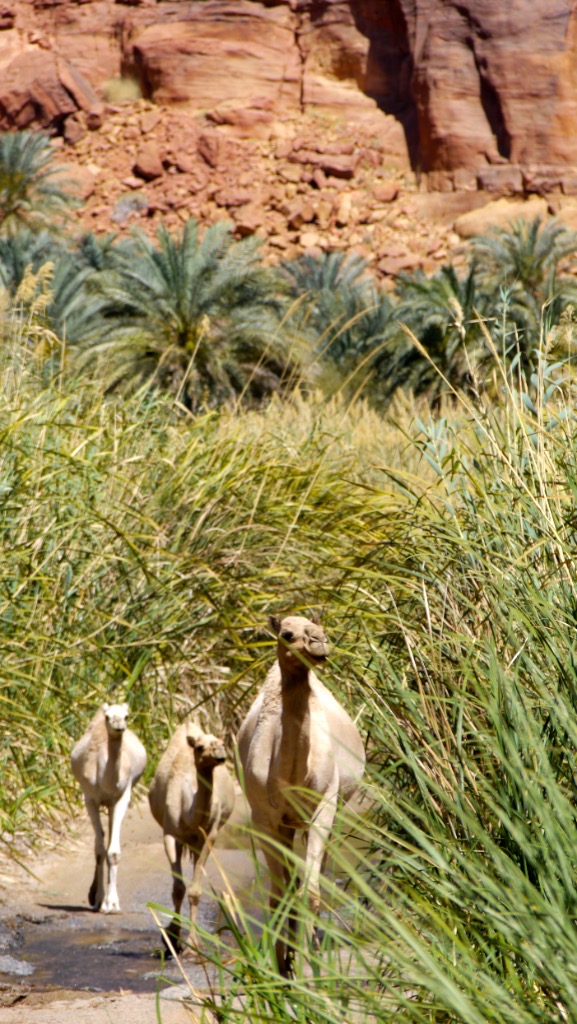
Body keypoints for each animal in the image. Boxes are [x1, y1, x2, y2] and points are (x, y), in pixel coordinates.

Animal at [70, 702, 147, 913]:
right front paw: (98, 899)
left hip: (113, 804)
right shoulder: (89, 798)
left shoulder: (122, 796)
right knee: (103, 839)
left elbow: (113, 852)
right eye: (108, 717)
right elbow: (99, 849)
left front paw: (112, 903)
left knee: (111, 833)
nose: (119, 725)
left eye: (127, 715)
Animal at [148, 720, 235, 953]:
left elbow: (195, 891)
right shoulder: (169, 833)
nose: (219, 751)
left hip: (198, 842)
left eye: (222, 742)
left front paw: (193, 944)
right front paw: (171, 938)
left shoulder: (209, 835)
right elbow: (178, 888)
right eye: (199, 747)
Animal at [237, 613, 365, 974]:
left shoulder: (324, 806)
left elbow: (311, 891)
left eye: (322, 629)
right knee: (288, 884)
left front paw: (312, 966)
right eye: (287, 634)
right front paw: (282, 967)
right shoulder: (264, 817)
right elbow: (278, 893)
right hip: (285, 824)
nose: (319, 643)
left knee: (311, 879)